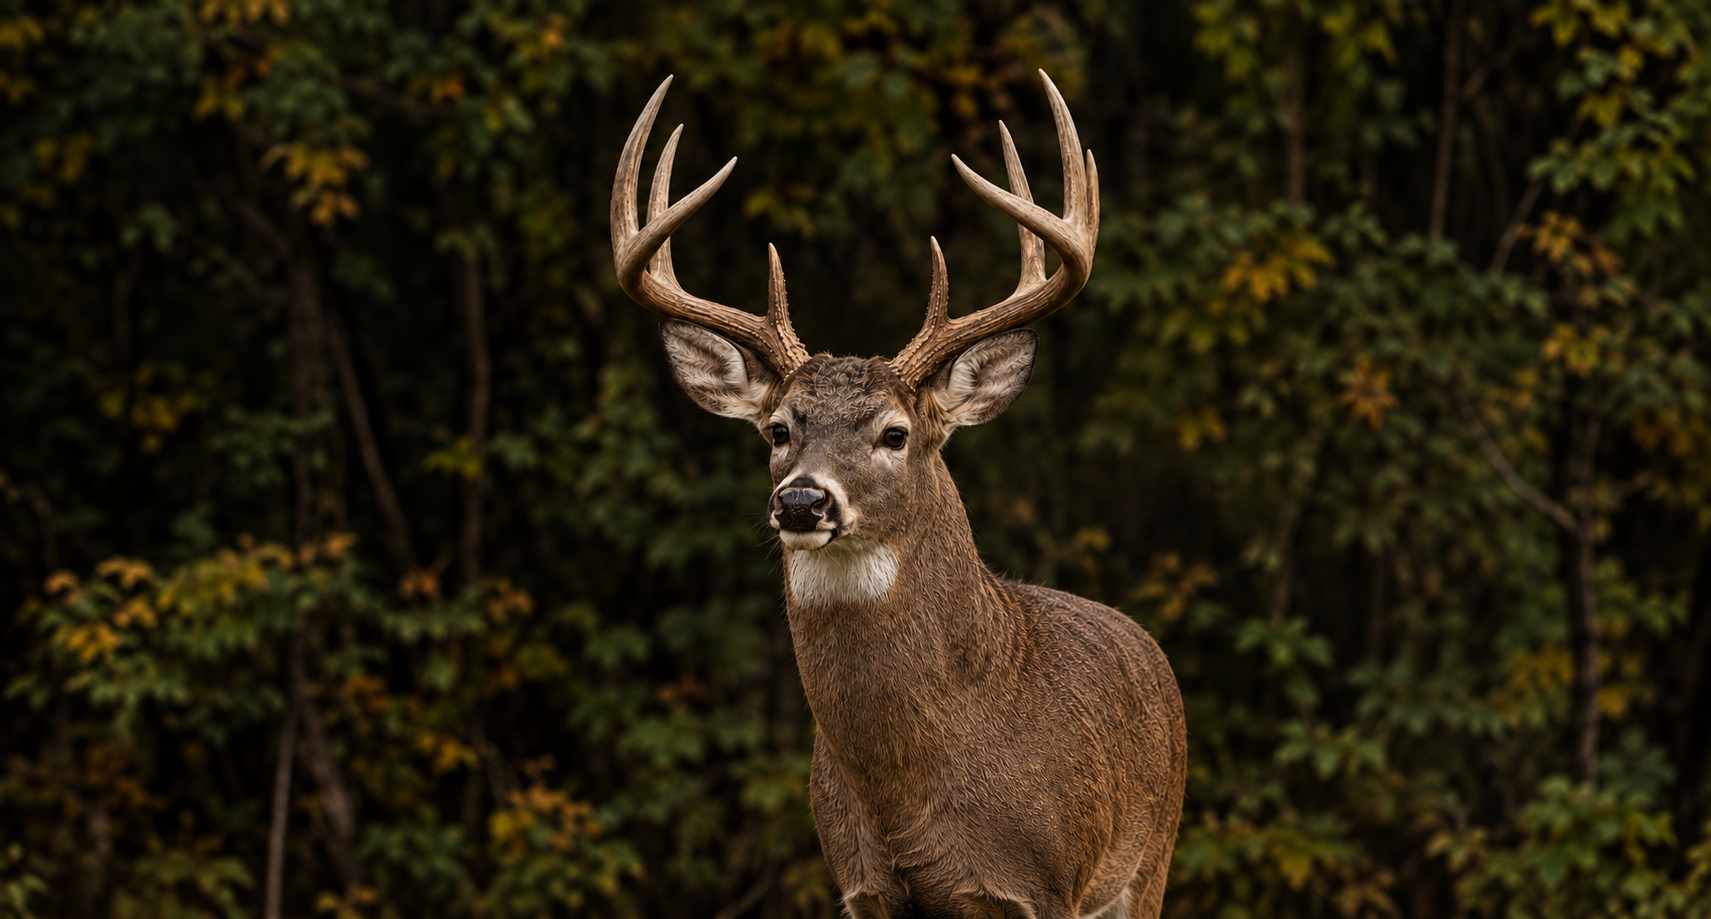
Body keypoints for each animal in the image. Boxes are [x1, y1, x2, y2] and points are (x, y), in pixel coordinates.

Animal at [611, 72, 1186, 919]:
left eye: (893, 433)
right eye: (778, 429)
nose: (802, 502)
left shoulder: (1046, 879)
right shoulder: (860, 881)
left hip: (1147, 861)